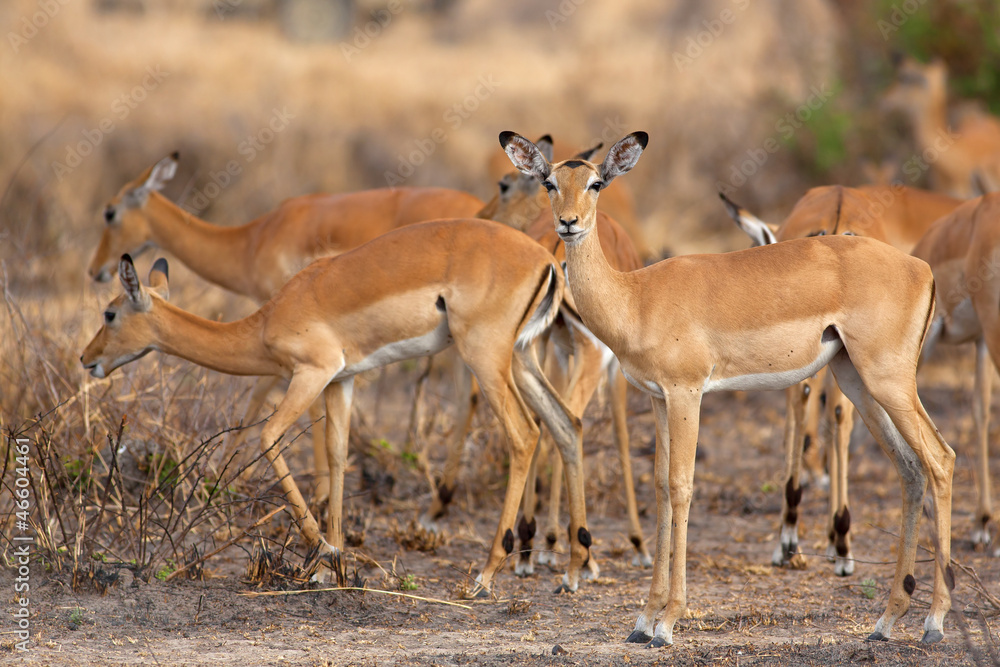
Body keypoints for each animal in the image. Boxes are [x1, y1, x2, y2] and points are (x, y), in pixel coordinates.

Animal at [81, 219, 598, 597]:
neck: (266, 321)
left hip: (486, 358)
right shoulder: (342, 381)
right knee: (566, 424)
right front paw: (332, 569)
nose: (87, 359)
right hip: (523, 357)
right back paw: (574, 569)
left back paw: (486, 575)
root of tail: (546, 259)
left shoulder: (312, 373)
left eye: (110, 313)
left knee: (525, 434)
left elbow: (268, 437)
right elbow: (336, 457)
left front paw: (325, 553)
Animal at [477, 135, 651, 572]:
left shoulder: (556, 349)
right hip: (586, 357)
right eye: (550, 184)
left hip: (532, 348)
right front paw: (637, 542)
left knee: (548, 422)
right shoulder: (612, 367)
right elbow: (622, 435)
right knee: (572, 419)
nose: (568, 222)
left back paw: (530, 543)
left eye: (595, 183)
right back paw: (578, 553)